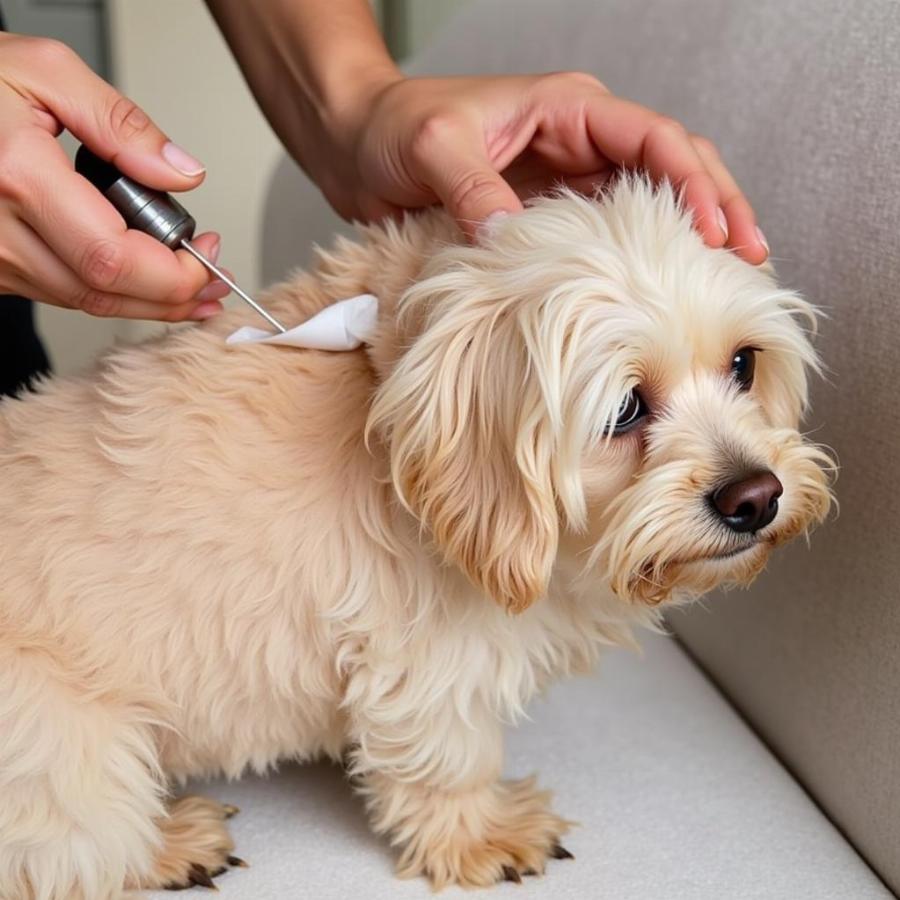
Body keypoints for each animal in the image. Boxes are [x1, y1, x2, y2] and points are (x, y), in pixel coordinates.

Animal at [0, 174, 828, 892]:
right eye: (624, 410)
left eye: (744, 364)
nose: (755, 496)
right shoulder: (427, 663)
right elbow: (448, 761)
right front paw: (484, 837)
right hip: (66, 747)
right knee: (70, 854)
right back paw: (169, 845)